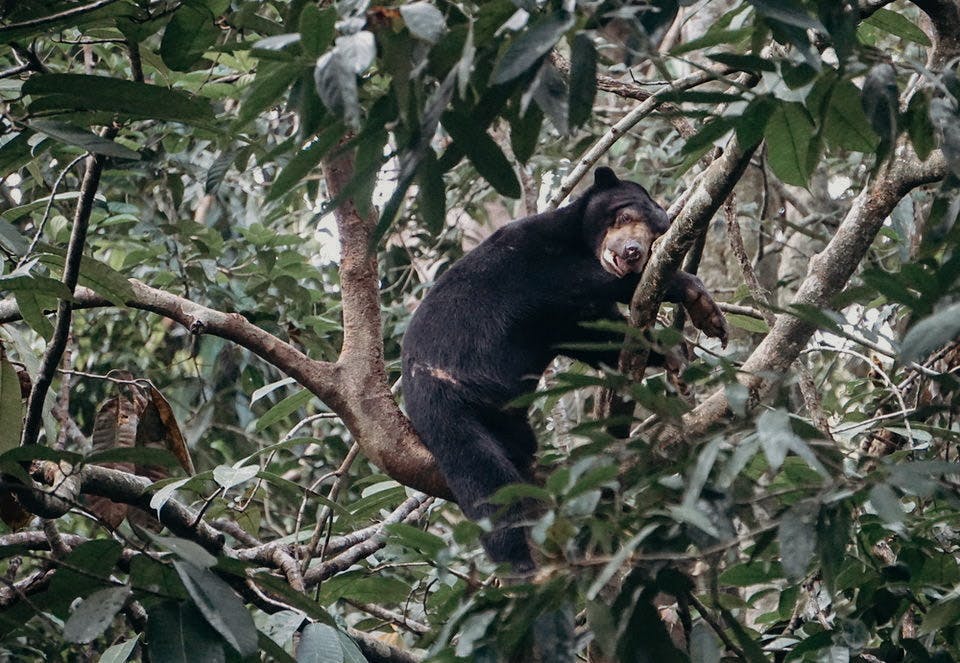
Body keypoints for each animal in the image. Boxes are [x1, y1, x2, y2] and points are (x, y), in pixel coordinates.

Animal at [400, 167, 728, 576]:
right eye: (625, 216)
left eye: (655, 236)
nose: (633, 253)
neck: (576, 239)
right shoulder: (534, 264)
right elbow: (587, 285)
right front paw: (692, 293)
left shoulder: (557, 321)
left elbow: (597, 336)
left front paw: (679, 348)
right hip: (451, 404)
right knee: (487, 482)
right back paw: (521, 561)